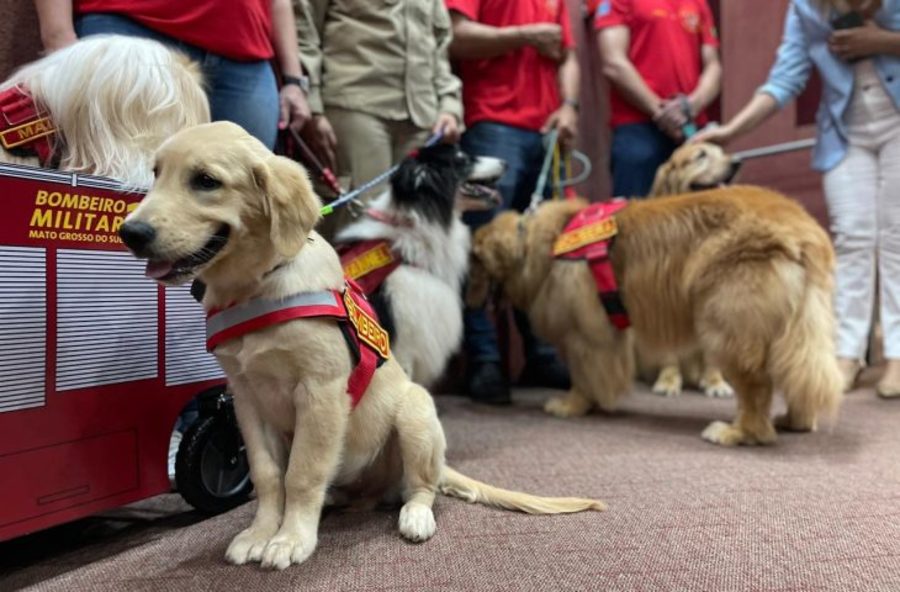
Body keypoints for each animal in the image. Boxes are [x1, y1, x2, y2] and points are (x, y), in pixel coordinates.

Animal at [468, 187, 848, 446]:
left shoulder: (586, 334)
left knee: (758, 387)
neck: (543, 244)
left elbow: (582, 376)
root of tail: (803, 228)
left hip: (726, 328)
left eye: (474, 260)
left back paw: (738, 432)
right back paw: (795, 421)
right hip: (796, 329)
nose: (468, 298)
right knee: (797, 376)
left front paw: (572, 405)